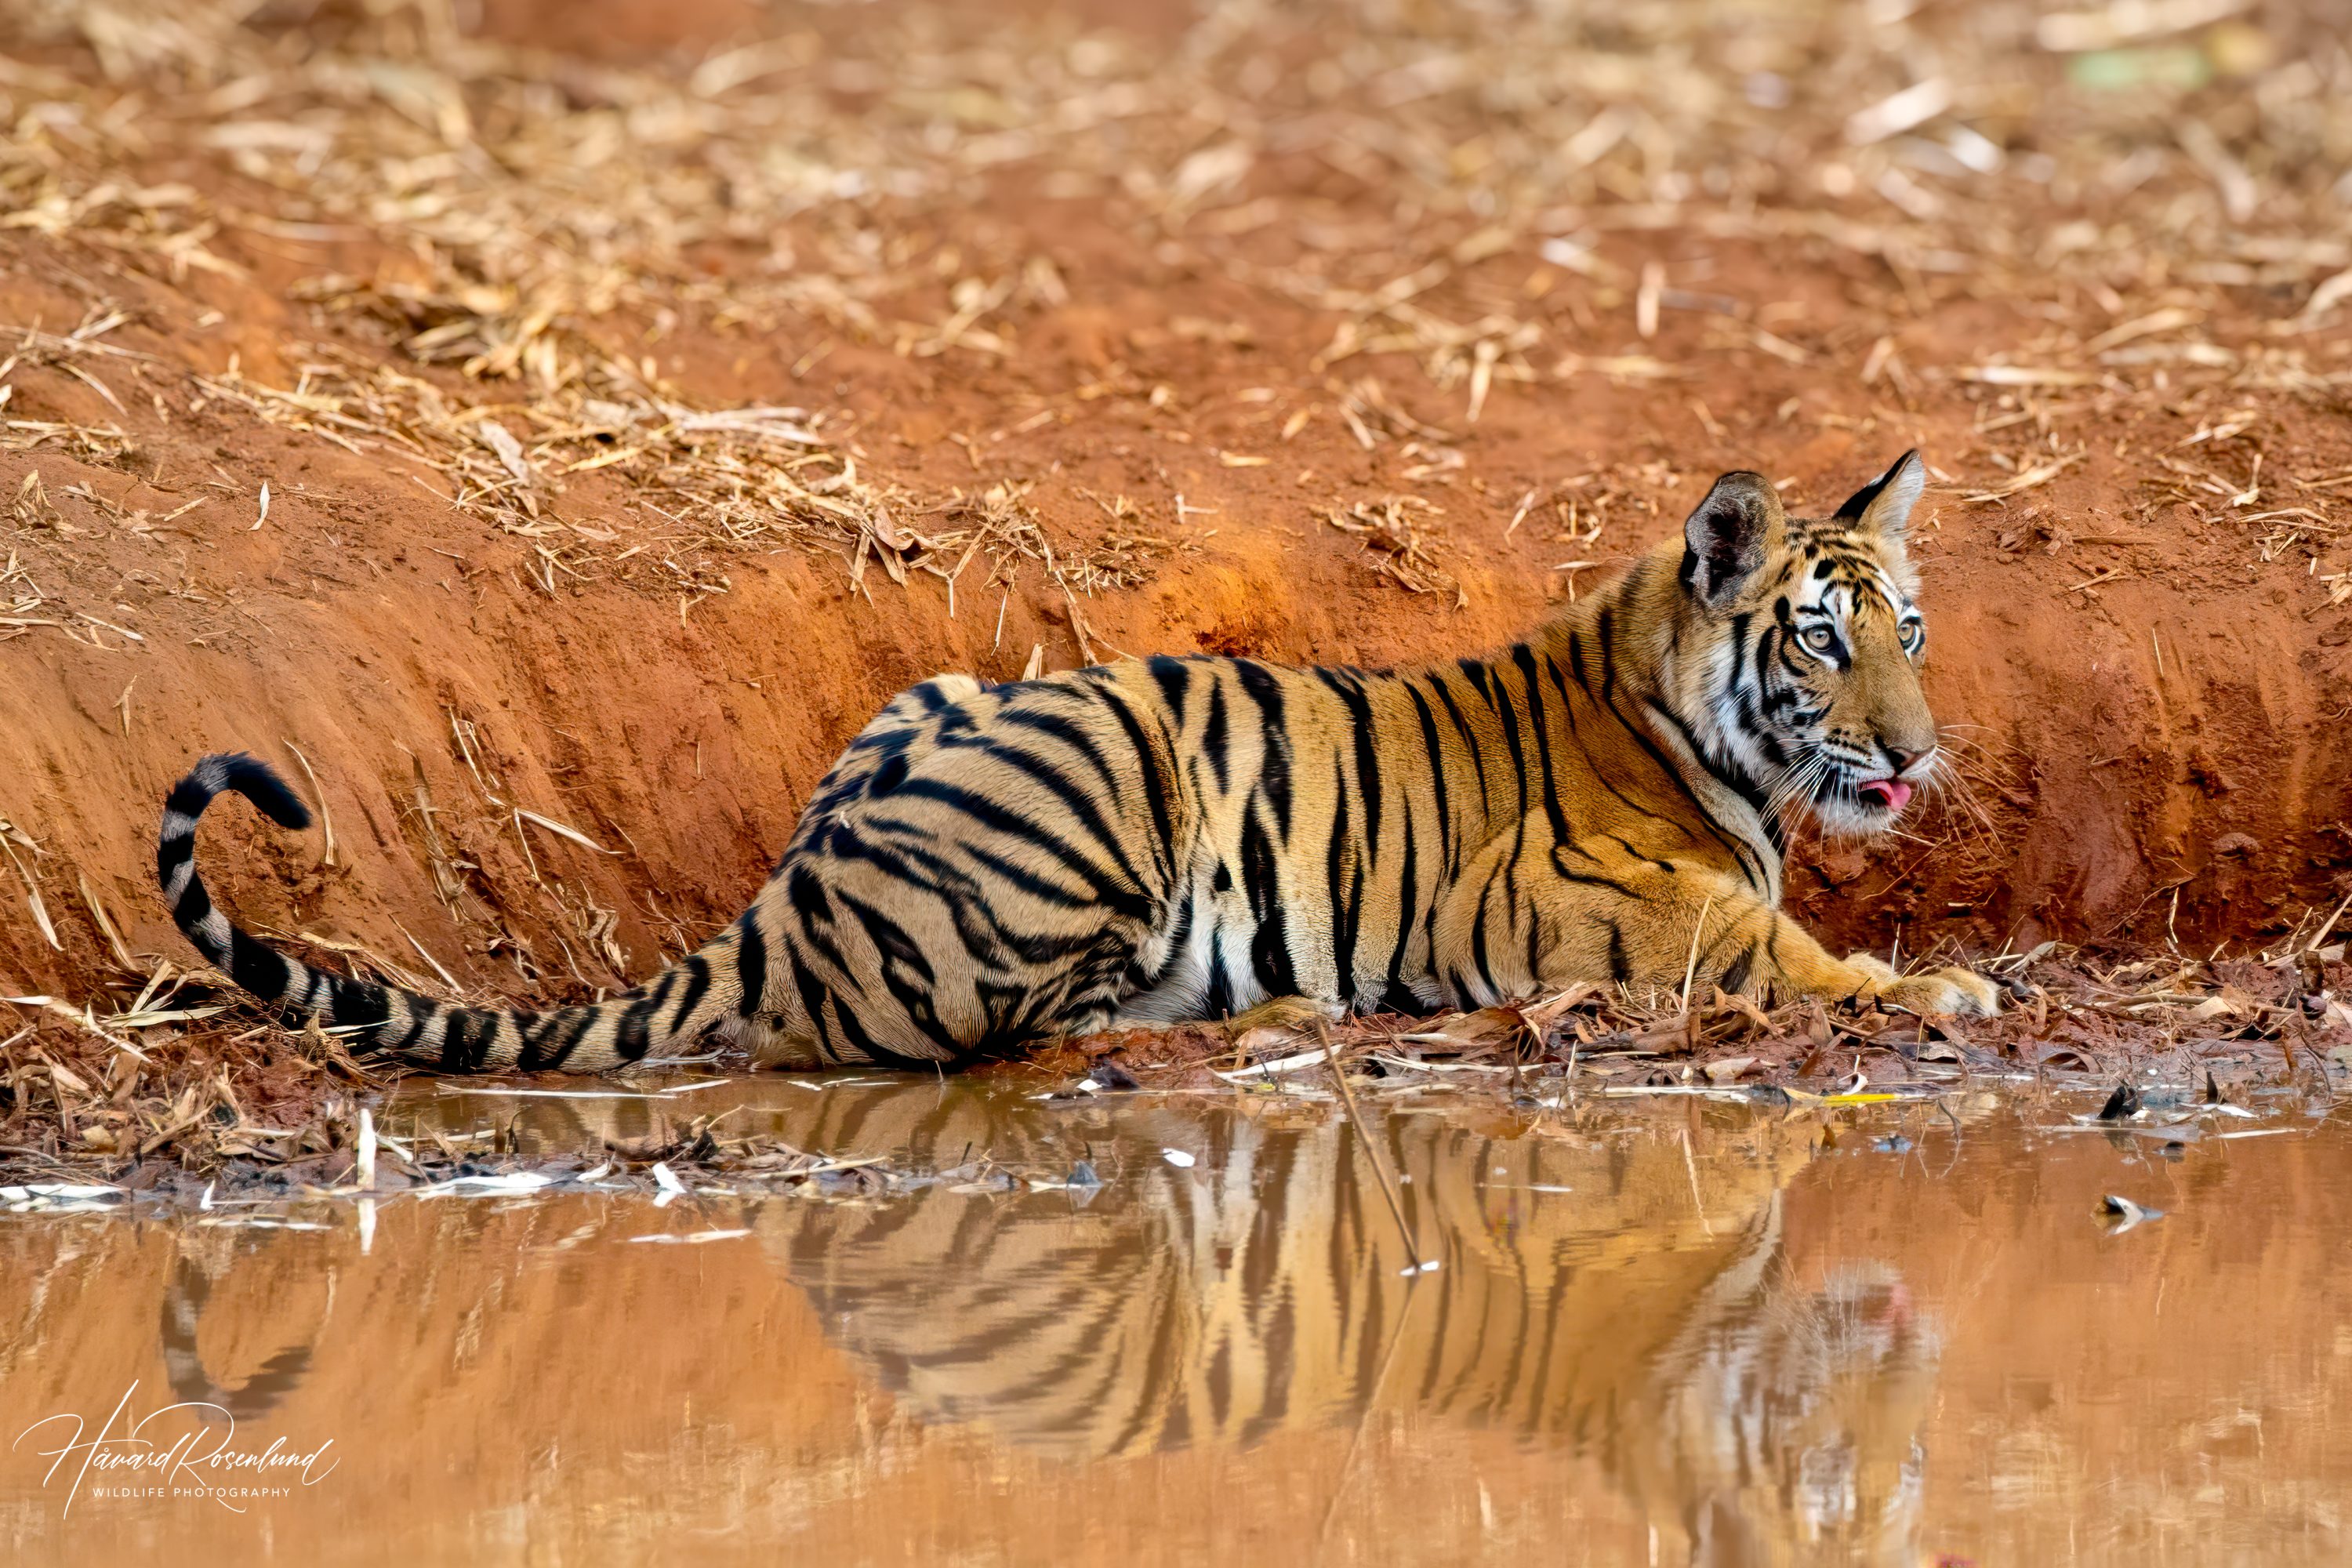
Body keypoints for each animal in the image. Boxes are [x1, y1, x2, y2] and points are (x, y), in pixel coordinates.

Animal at [156, 449, 1999, 1072]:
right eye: (1823, 640)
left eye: (1912, 624)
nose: (1921, 756)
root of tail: (790, 893)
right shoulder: (1548, 902)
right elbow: (1769, 948)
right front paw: (1937, 989)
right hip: (1119, 790)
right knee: (1019, 1032)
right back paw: (1274, 1018)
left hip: (937, 693)